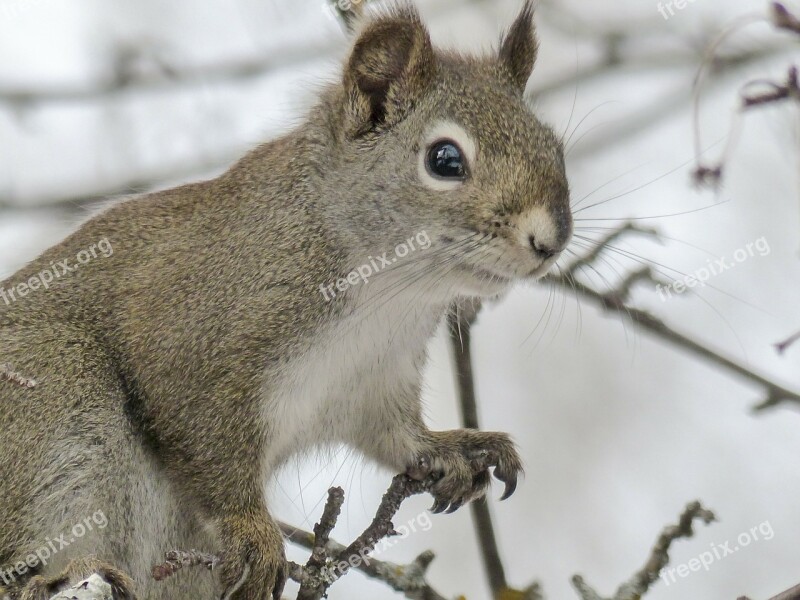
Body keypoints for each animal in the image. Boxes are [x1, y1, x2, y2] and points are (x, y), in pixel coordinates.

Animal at [0, 2, 576, 596]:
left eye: (554, 147)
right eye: (445, 160)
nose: (550, 242)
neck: (389, 292)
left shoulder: (373, 380)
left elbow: (395, 436)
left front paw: (454, 448)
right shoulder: (193, 341)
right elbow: (209, 447)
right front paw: (252, 531)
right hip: (55, 391)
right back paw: (65, 571)